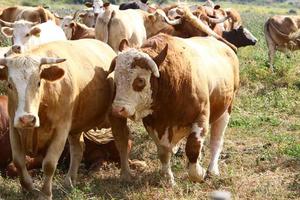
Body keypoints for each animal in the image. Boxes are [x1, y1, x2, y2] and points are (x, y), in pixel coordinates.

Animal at [0, 38, 129, 198]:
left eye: (38, 82)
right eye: (9, 85)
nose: (27, 119)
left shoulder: (61, 129)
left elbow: (49, 164)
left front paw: (45, 194)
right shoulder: (14, 128)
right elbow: (18, 161)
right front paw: (30, 188)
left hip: (116, 116)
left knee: (122, 142)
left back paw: (125, 175)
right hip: (76, 127)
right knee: (78, 149)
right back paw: (69, 181)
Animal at [109, 33, 240, 185]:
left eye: (140, 80)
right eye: (116, 78)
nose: (117, 109)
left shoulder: (201, 117)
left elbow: (193, 148)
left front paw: (198, 173)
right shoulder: (153, 123)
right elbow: (163, 151)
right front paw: (168, 178)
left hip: (226, 111)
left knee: (216, 141)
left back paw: (212, 170)